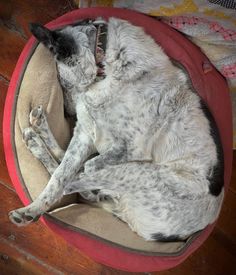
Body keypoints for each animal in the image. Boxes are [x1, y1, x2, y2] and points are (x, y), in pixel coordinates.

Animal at [7, 18, 225, 242]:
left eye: (62, 81)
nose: (67, 112)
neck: (104, 63)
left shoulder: (130, 149)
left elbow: (76, 173)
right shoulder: (85, 132)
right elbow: (59, 176)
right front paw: (33, 209)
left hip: (141, 173)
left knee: (80, 180)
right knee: (76, 178)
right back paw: (37, 136)